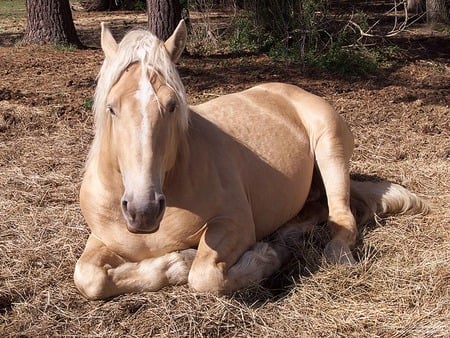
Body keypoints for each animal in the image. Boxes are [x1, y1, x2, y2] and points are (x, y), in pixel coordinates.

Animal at [74, 21, 428, 300]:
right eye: (111, 107)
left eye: (172, 105)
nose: (143, 210)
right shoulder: (102, 238)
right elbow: (88, 277)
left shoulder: (235, 224)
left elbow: (203, 275)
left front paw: (258, 258)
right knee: (315, 210)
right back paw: (287, 238)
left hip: (331, 152)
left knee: (340, 215)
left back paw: (329, 253)